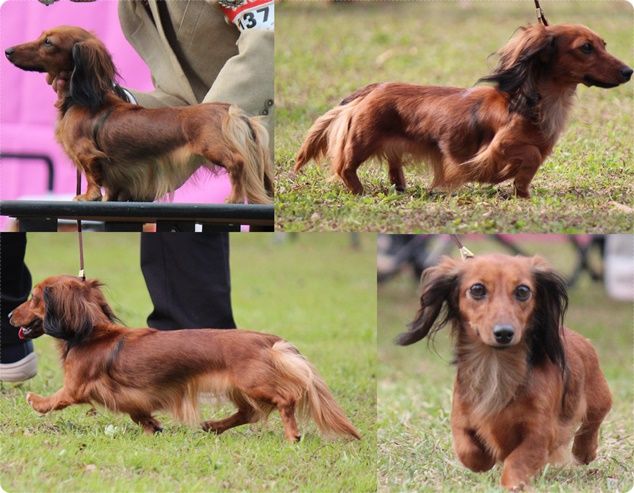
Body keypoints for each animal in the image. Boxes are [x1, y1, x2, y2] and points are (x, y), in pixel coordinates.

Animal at [5, 26, 274, 204]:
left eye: (48, 42)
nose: (7, 50)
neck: (81, 99)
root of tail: (228, 110)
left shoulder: (87, 153)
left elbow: (92, 177)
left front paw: (88, 196)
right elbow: (112, 188)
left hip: (214, 147)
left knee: (237, 163)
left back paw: (234, 198)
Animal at [9, 275, 360, 442]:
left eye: (34, 298)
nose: (10, 316)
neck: (91, 333)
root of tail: (267, 339)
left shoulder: (77, 387)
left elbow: (56, 399)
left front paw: (36, 401)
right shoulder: (130, 398)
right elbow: (139, 413)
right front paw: (153, 427)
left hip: (253, 384)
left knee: (285, 400)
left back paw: (292, 434)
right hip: (237, 388)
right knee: (249, 413)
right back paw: (213, 426)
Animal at [294, 23, 632, 198]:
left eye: (603, 44)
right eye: (586, 47)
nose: (629, 71)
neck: (534, 99)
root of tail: (371, 88)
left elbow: (532, 164)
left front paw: (521, 191)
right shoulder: (500, 146)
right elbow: (531, 157)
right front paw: (513, 184)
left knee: (393, 167)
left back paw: (401, 188)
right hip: (361, 141)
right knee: (344, 168)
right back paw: (360, 191)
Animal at [396, 254, 611, 490]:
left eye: (523, 291)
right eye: (477, 289)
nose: (504, 333)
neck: (496, 366)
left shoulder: (540, 432)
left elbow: (519, 459)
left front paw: (513, 484)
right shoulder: (461, 417)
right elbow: (468, 450)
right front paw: (485, 459)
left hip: (599, 399)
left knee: (592, 422)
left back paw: (584, 451)